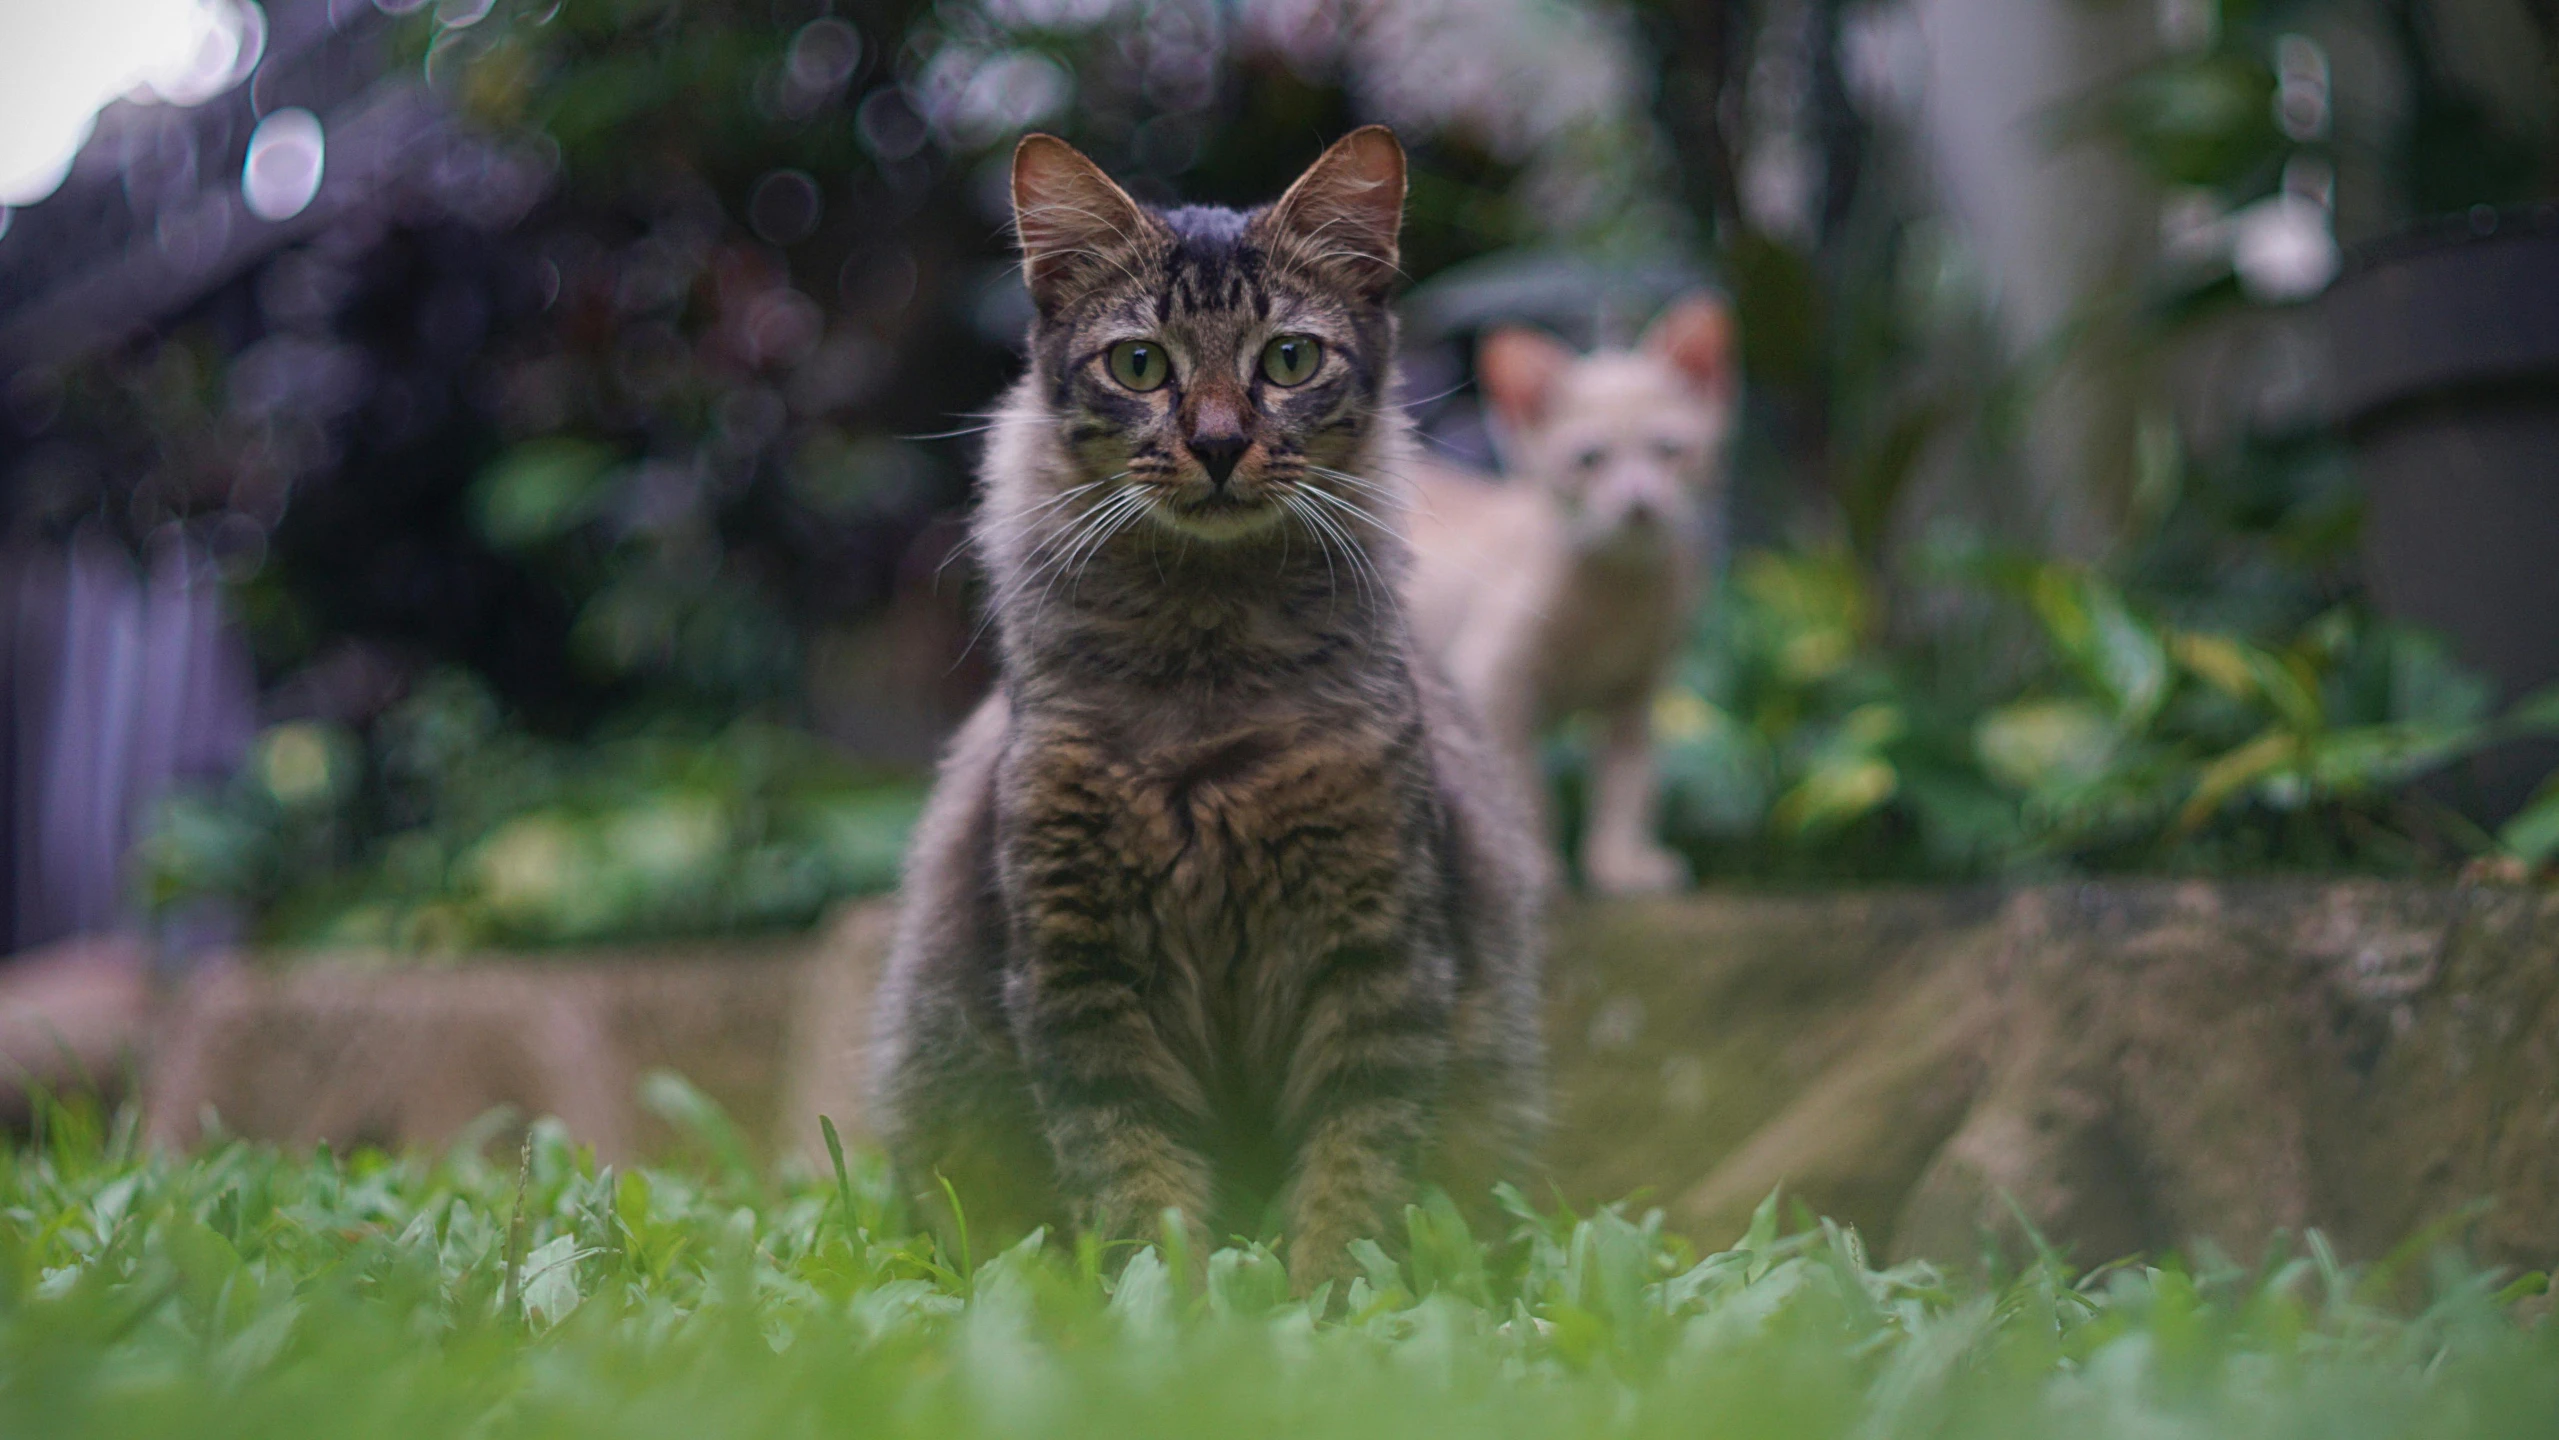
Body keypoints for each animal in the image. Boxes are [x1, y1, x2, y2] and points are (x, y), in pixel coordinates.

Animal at [864, 129, 1535, 1289]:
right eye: (1140, 364)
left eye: (1288, 360)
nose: (1219, 443)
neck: (1208, 671)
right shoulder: (1082, 963)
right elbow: (1137, 1170)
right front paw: (1170, 1303)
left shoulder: (1376, 950)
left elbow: (1354, 1161)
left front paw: (1327, 1298)